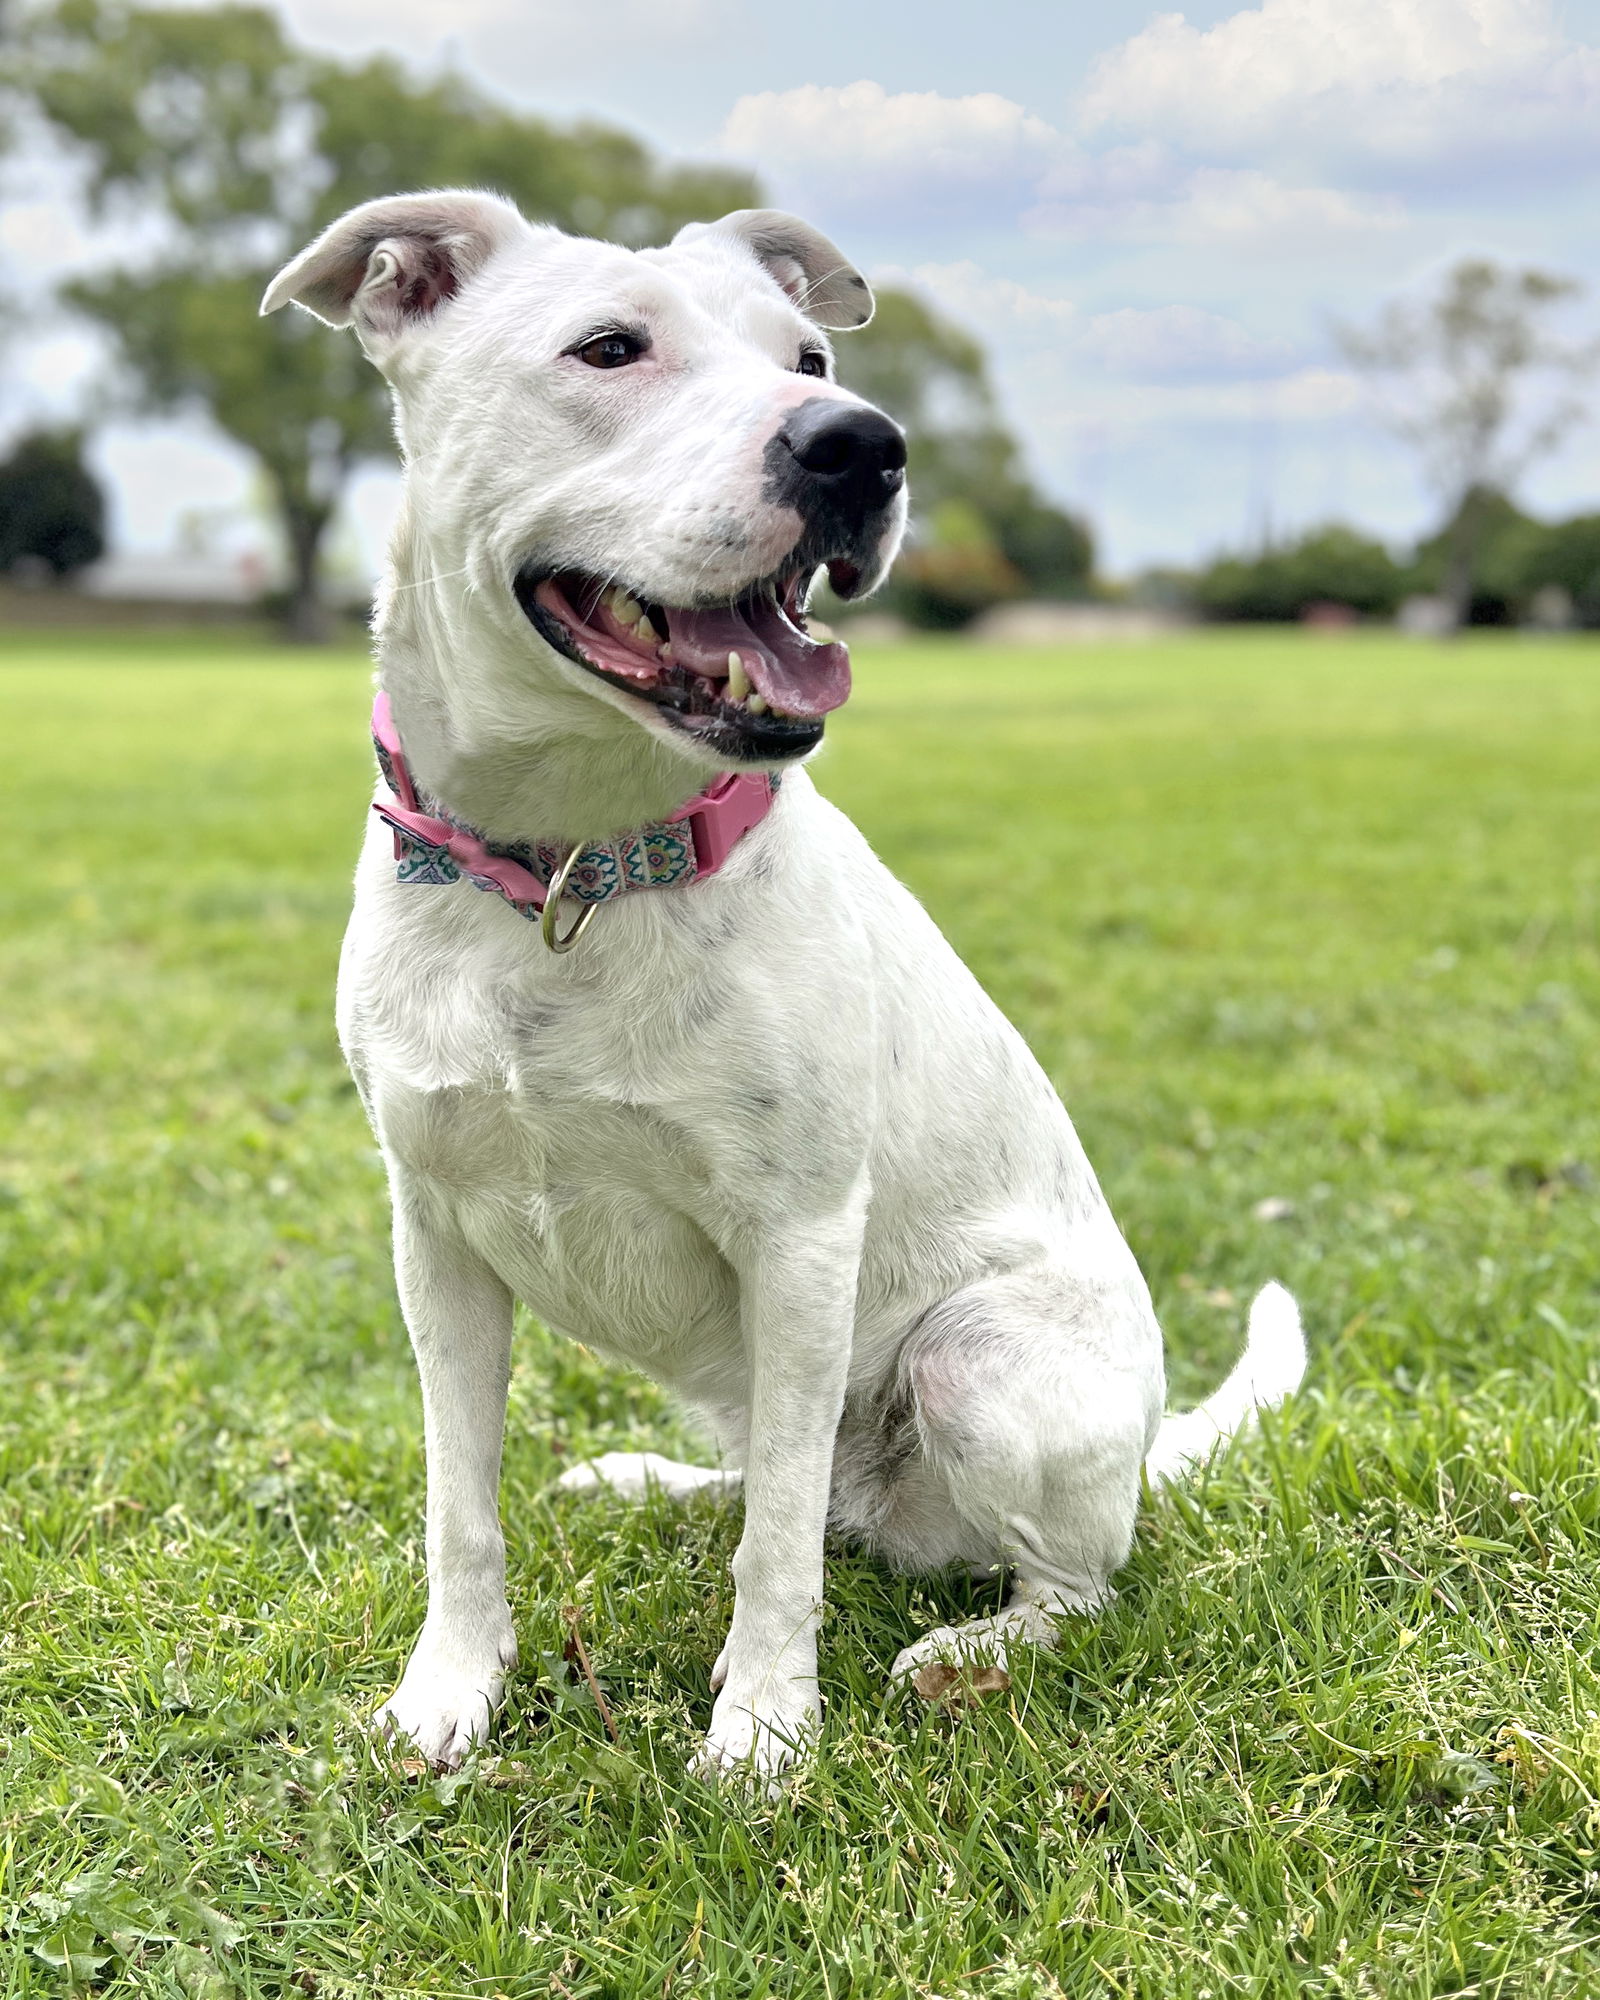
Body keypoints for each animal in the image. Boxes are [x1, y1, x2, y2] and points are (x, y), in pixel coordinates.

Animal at [262, 188, 1304, 1784]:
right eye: (608, 348)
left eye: (809, 355)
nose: (861, 445)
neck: (577, 867)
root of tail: (1143, 1438)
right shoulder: (432, 1239)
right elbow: (460, 1506)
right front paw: (448, 1693)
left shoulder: (802, 1241)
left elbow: (776, 1563)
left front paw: (760, 1733)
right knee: (780, 1484)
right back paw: (652, 1478)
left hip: (973, 1360)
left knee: (1049, 1573)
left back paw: (971, 1649)